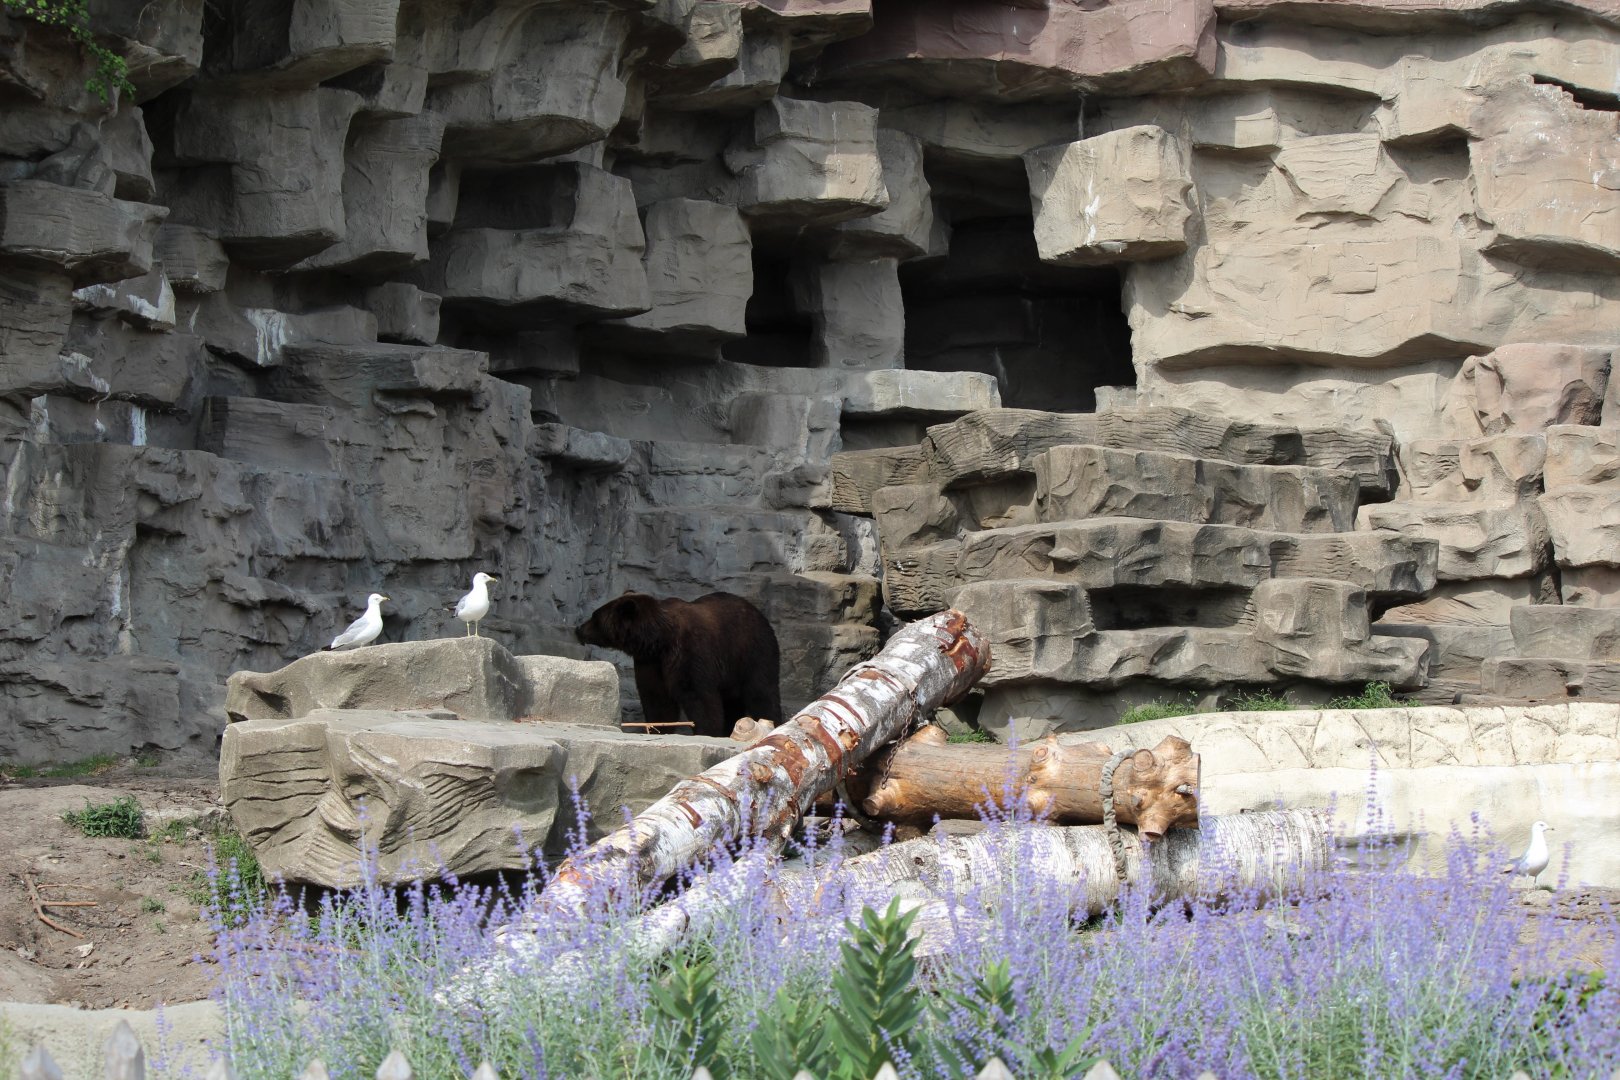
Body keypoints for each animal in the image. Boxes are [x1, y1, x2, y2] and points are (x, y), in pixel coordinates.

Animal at [575, 590, 783, 738]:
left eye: (595, 616)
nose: (578, 629)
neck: (659, 641)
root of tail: (760, 614)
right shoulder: (650, 662)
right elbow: (657, 698)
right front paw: (659, 727)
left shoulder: (690, 652)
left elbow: (699, 696)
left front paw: (707, 731)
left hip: (752, 651)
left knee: (762, 692)